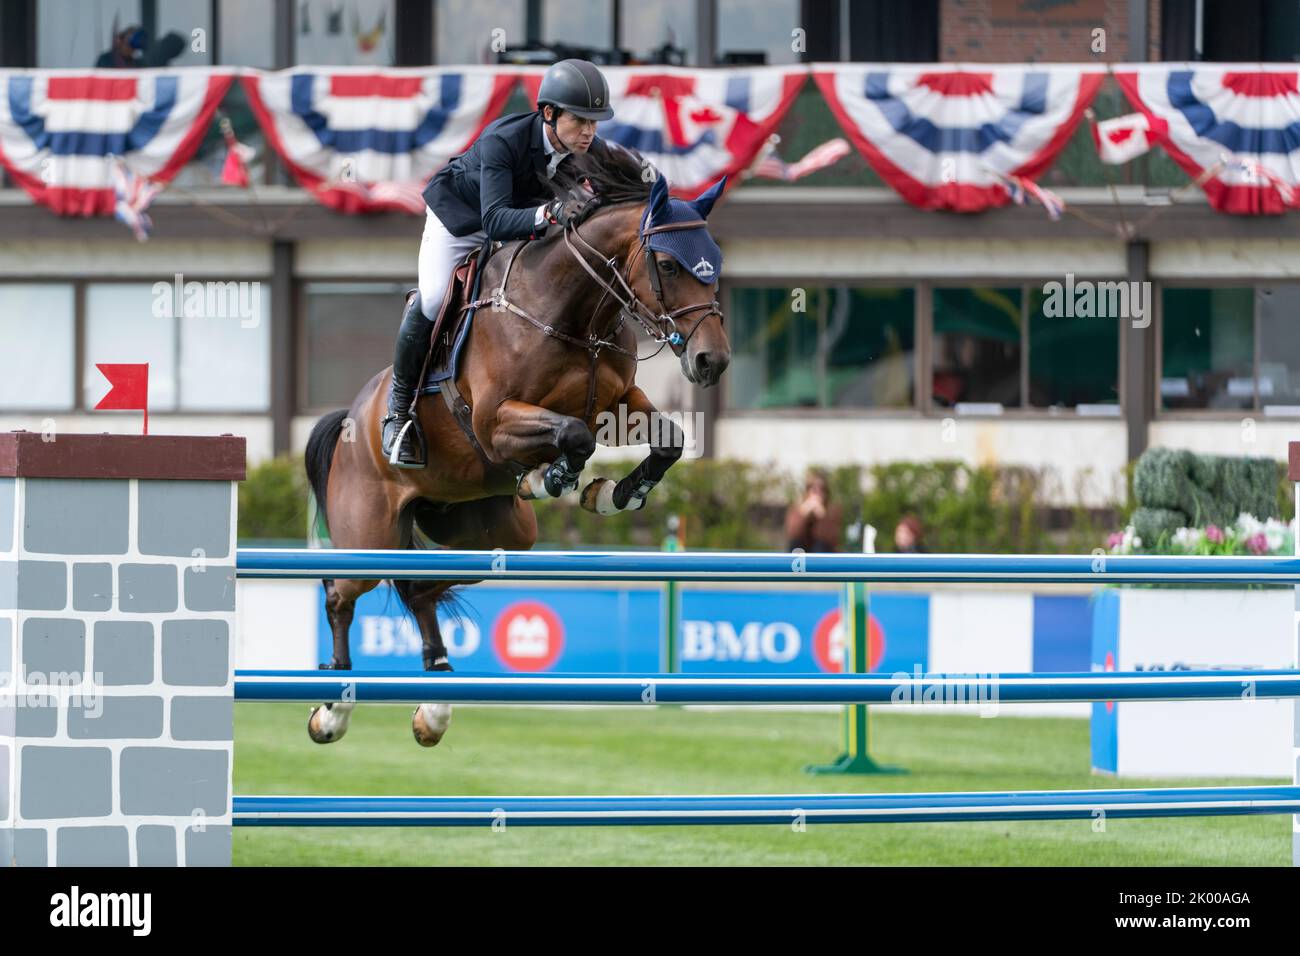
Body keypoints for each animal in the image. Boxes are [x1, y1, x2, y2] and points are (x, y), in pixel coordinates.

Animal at [301, 147, 733, 749]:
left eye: (714, 260)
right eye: (669, 265)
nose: (711, 361)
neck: (572, 314)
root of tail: (351, 419)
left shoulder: (619, 403)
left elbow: (669, 439)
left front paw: (613, 494)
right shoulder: (495, 422)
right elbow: (572, 436)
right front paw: (549, 478)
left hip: (492, 532)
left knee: (421, 587)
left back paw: (434, 705)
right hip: (369, 531)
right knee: (342, 595)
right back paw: (332, 709)